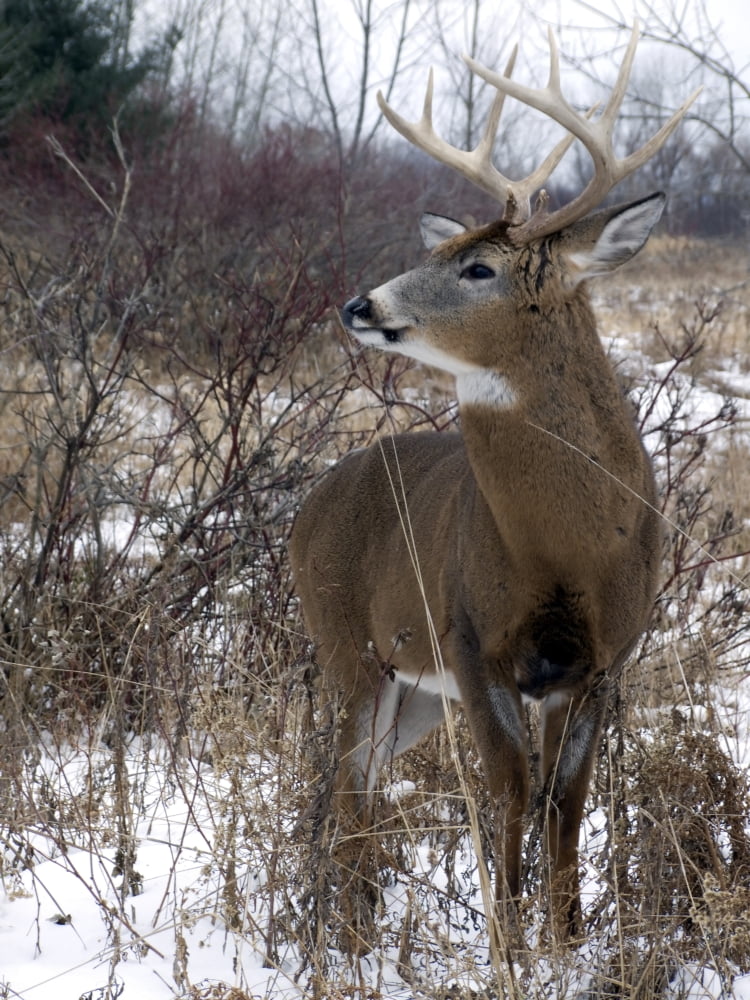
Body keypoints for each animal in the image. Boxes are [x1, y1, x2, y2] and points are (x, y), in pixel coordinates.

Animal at [289, 22, 699, 950]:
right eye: (436, 251)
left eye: (477, 267)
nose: (359, 305)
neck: (567, 547)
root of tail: (306, 506)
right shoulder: (474, 638)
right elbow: (511, 791)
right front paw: (510, 942)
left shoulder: (604, 659)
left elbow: (565, 803)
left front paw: (568, 938)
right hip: (351, 647)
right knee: (350, 783)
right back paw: (354, 934)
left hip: (411, 688)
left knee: (357, 780)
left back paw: (354, 915)